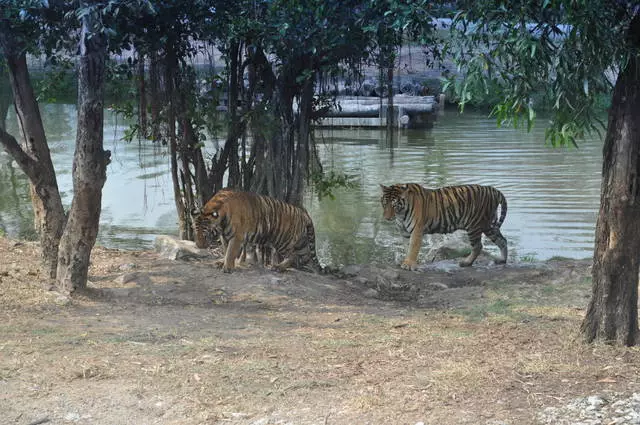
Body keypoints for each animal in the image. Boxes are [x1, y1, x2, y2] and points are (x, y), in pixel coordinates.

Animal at [189, 188, 320, 274]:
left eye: (206, 234)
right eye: (195, 231)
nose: (199, 246)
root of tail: (303, 212)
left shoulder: (237, 237)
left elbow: (230, 252)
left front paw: (227, 268)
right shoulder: (224, 236)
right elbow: (226, 251)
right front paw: (222, 263)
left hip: (283, 241)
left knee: (293, 255)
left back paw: (279, 267)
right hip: (300, 243)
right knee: (306, 256)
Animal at [380, 181, 510, 268]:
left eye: (394, 205)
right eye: (384, 203)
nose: (386, 218)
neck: (401, 215)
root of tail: (492, 189)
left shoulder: (416, 231)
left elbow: (413, 248)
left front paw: (408, 264)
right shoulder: (405, 233)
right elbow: (407, 247)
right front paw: (405, 261)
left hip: (474, 225)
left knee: (478, 246)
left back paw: (466, 262)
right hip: (489, 225)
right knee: (502, 240)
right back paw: (502, 260)